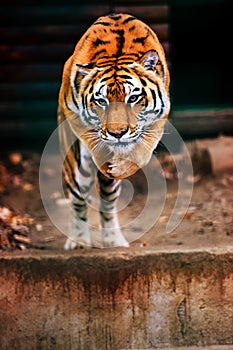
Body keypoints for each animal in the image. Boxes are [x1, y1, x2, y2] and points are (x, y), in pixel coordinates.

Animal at [57, 13, 171, 249]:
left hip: (109, 189)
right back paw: (79, 241)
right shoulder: (71, 112)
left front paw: (122, 165)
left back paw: (113, 240)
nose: (117, 133)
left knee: (107, 204)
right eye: (101, 101)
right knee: (77, 198)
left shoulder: (160, 116)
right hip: (76, 168)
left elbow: (142, 151)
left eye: (133, 98)